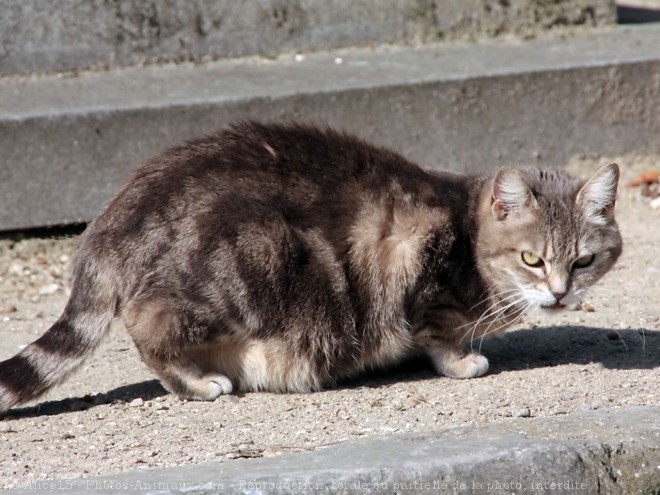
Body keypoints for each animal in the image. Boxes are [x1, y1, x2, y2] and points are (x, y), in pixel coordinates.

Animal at [0, 122, 620, 412]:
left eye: (584, 260)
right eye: (532, 259)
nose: (560, 294)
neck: (468, 233)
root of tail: (110, 219)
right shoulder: (421, 279)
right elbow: (438, 334)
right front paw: (463, 361)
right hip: (250, 257)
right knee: (149, 325)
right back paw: (199, 382)